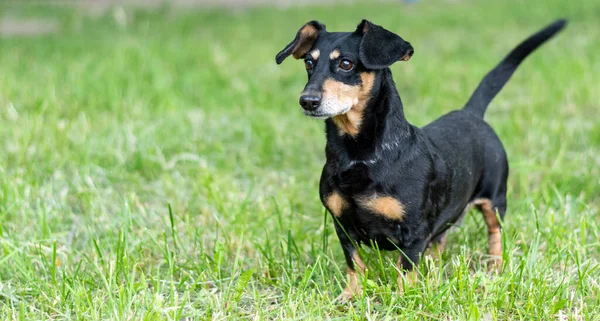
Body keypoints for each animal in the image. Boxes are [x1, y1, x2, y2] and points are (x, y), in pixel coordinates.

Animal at [276, 18, 568, 300]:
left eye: (346, 63)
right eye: (309, 63)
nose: (307, 101)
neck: (361, 157)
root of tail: (470, 113)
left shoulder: (414, 233)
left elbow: (405, 270)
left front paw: (402, 299)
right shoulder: (343, 226)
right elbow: (354, 264)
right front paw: (351, 295)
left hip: (495, 198)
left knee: (495, 233)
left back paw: (494, 267)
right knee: (440, 241)